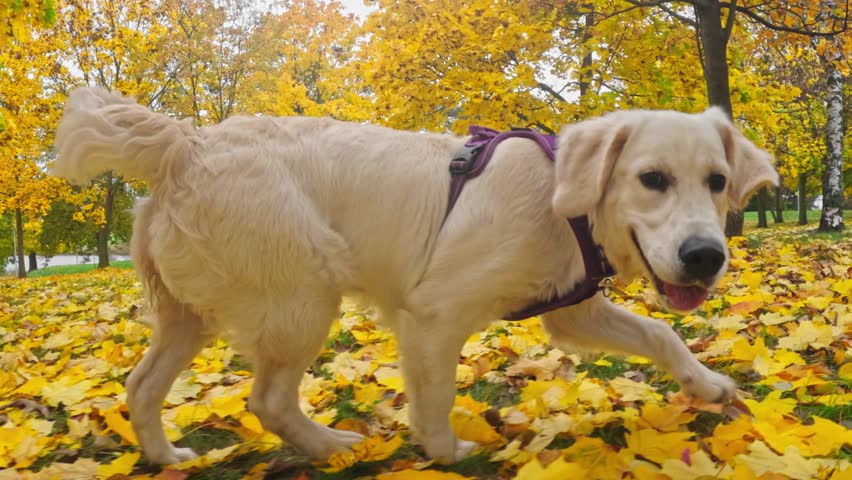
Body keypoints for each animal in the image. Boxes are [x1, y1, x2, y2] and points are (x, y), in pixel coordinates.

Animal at [50, 87, 776, 464]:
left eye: (717, 181)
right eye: (652, 179)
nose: (706, 256)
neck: (557, 198)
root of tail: (184, 144)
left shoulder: (573, 310)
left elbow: (662, 334)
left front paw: (708, 385)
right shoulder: (435, 313)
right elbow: (435, 396)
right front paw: (448, 451)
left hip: (191, 315)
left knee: (141, 387)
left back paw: (167, 458)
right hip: (302, 300)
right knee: (269, 400)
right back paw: (331, 445)